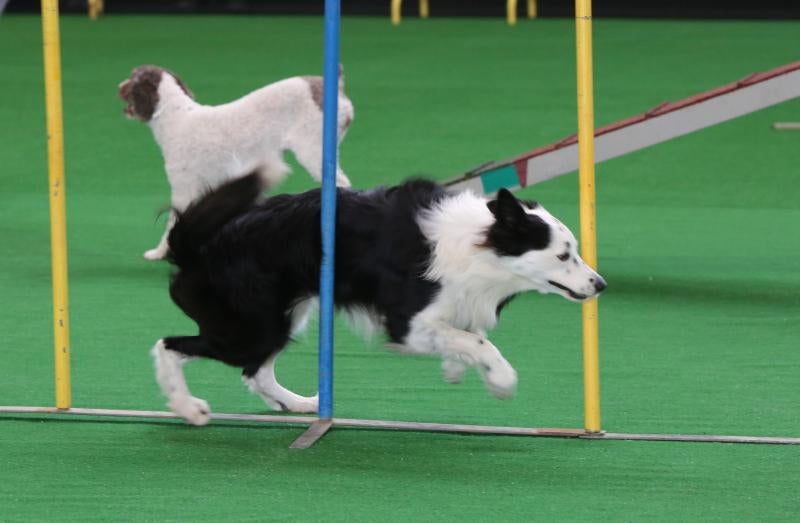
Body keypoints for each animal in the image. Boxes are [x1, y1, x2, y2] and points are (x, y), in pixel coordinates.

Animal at [119, 65, 354, 260]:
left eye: (132, 78)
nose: (118, 86)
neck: (176, 118)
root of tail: (338, 90)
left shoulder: (183, 187)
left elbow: (172, 221)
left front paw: (160, 252)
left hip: (314, 151)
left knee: (341, 183)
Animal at [153, 176, 608, 426]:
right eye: (563, 255)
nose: (599, 284)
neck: (478, 248)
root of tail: (196, 247)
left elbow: (466, 333)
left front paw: (456, 368)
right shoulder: (406, 322)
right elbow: (478, 341)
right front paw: (500, 380)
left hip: (282, 316)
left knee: (255, 371)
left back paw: (299, 404)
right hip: (253, 325)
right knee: (168, 345)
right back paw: (188, 408)